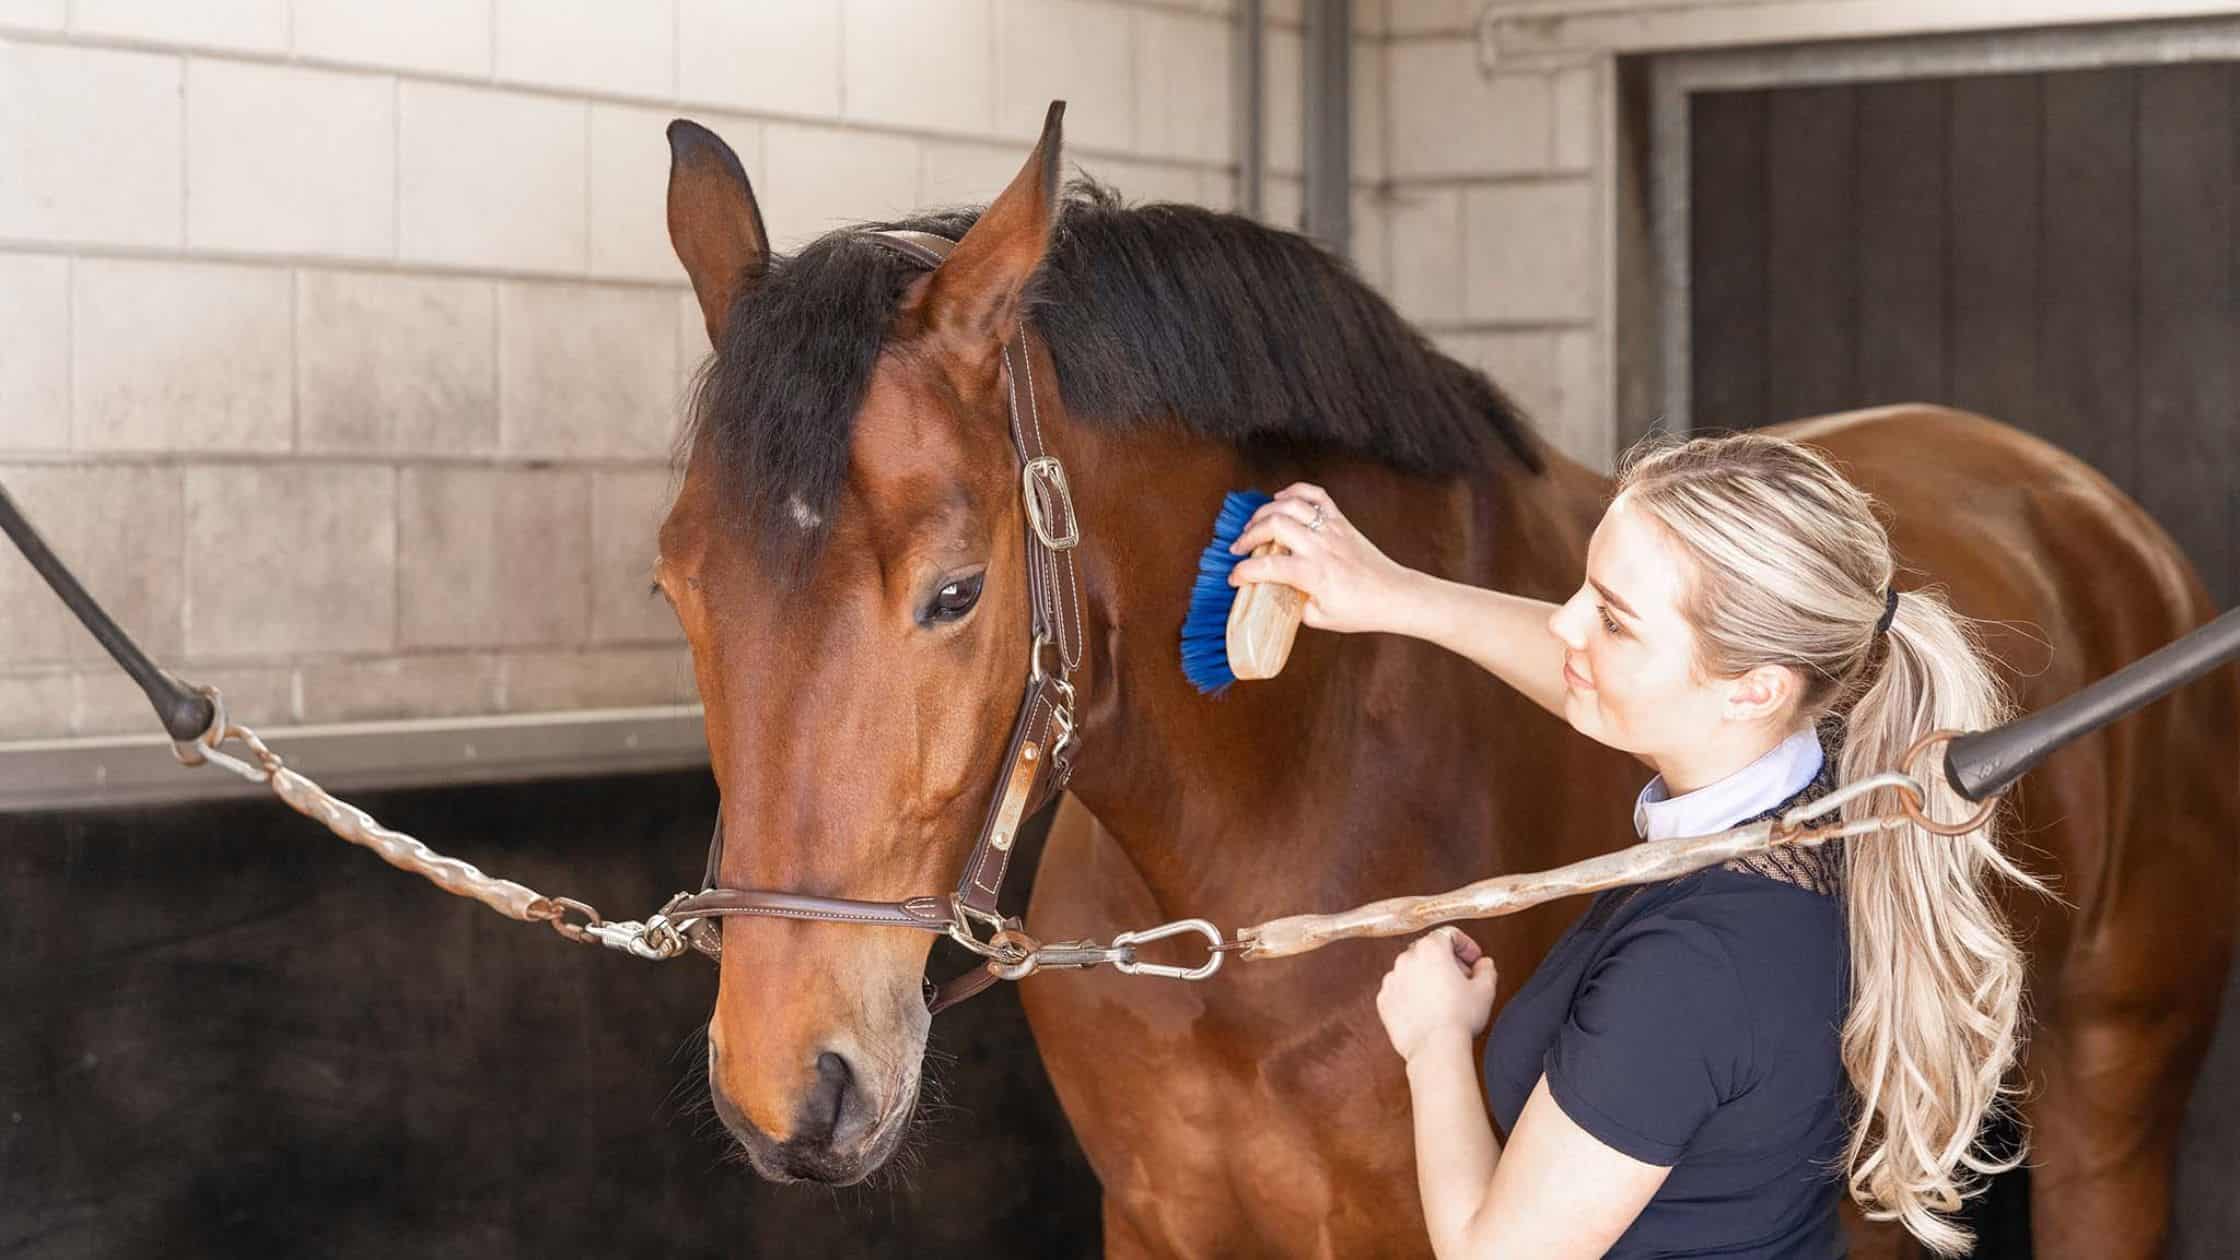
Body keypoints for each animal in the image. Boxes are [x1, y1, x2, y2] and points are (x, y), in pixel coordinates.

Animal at [652, 103, 2237, 1257]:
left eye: (954, 592)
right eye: (676, 588)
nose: (792, 1090)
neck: (1284, 815)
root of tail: (2097, 519)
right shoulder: (1162, 1226)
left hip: (2111, 1107)